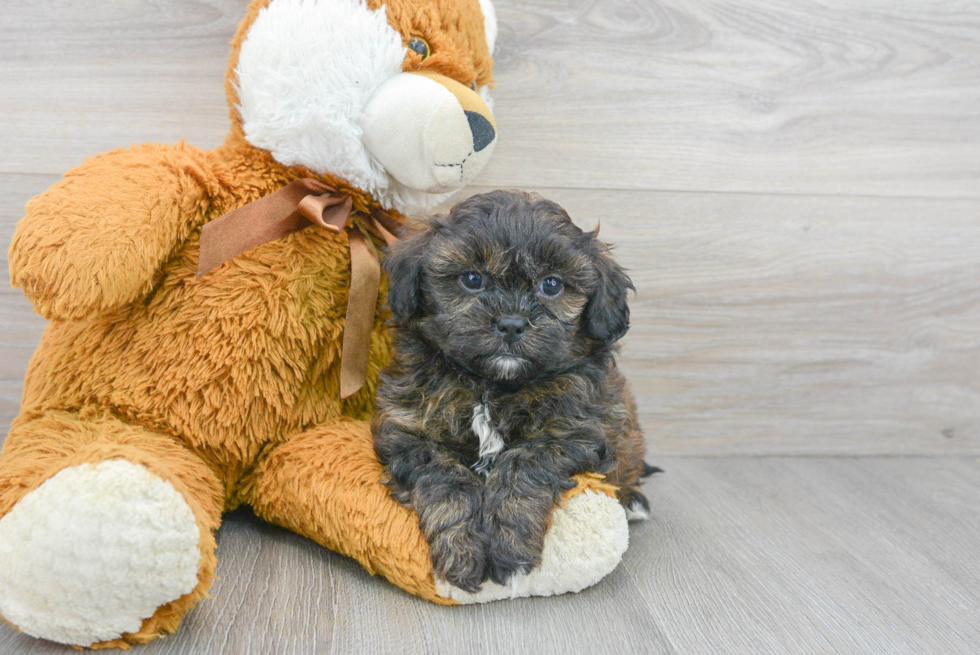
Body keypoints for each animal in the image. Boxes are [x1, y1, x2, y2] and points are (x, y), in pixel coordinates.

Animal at [372, 190, 656, 596]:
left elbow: (522, 464)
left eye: (551, 285)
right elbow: (446, 478)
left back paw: (632, 500)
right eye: (471, 279)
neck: (493, 386)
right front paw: (462, 550)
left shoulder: (577, 431)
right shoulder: (408, 430)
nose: (511, 324)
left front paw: (509, 546)